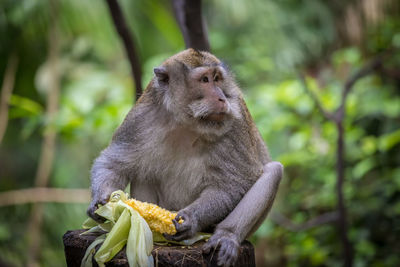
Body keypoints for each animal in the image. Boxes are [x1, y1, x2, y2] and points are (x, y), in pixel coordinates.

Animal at [87, 49, 282, 266]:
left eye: (217, 78)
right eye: (204, 80)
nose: (222, 98)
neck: (186, 122)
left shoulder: (234, 123)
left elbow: (233, 184)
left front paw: (191, 219)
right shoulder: (139, 120)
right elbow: (113, 163)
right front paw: (101, 202)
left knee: (274, 171)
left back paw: (227, 235)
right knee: (143, 171)